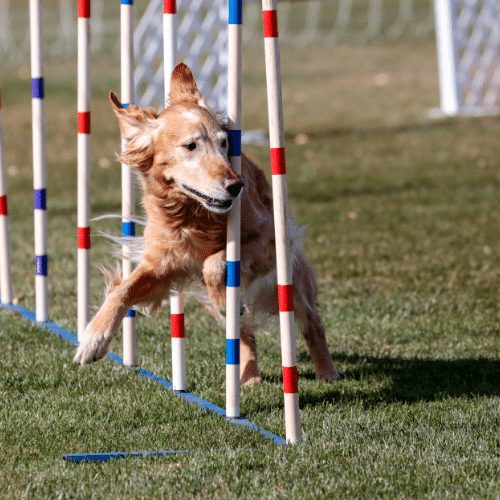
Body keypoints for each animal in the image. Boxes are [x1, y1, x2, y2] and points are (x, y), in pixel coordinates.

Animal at [74, 60, 340, 384]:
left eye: (225, 144)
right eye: (191, 146)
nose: (236, 186)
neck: (193, 213)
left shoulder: (268, 240)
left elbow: (214, 265)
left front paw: (225, 298)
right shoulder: (164, 262)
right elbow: (122, 290)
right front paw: (93, 338)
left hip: (290, 278)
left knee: (310, 322)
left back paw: (327, 372)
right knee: (243, 334)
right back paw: (249, 378)